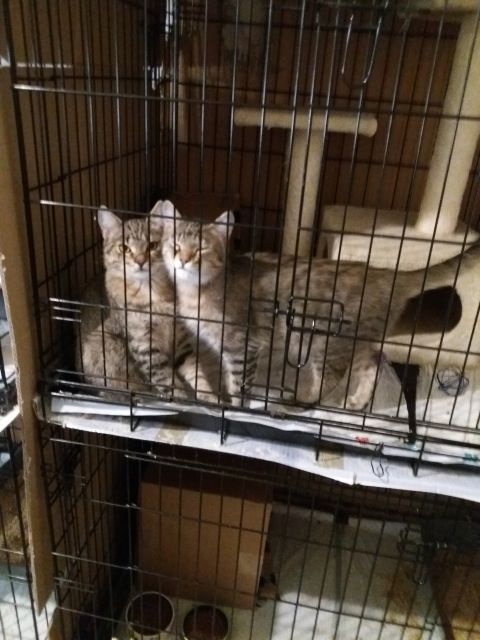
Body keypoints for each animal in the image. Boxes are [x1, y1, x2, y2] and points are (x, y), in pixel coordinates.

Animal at [94, 203, 214, 402]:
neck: (150, 291)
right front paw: (183, 400)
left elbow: (196, 372)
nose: (140, 261)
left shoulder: (181, 339)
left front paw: (209, 397)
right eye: (124, 248)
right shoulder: (144, 348)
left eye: (152, 245)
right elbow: (169, 383)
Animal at [159, 199, 476, 410]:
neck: (197, 292)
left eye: (201, 248)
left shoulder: (242, 345)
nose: (182, 259)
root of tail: (387, 273)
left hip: (328, 342)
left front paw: (235, 408)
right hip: (354, 341)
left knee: (330, 379)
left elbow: (239, 384)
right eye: (175, 245)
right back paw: (357, 401)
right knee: (372, 366)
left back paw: (301, 399)